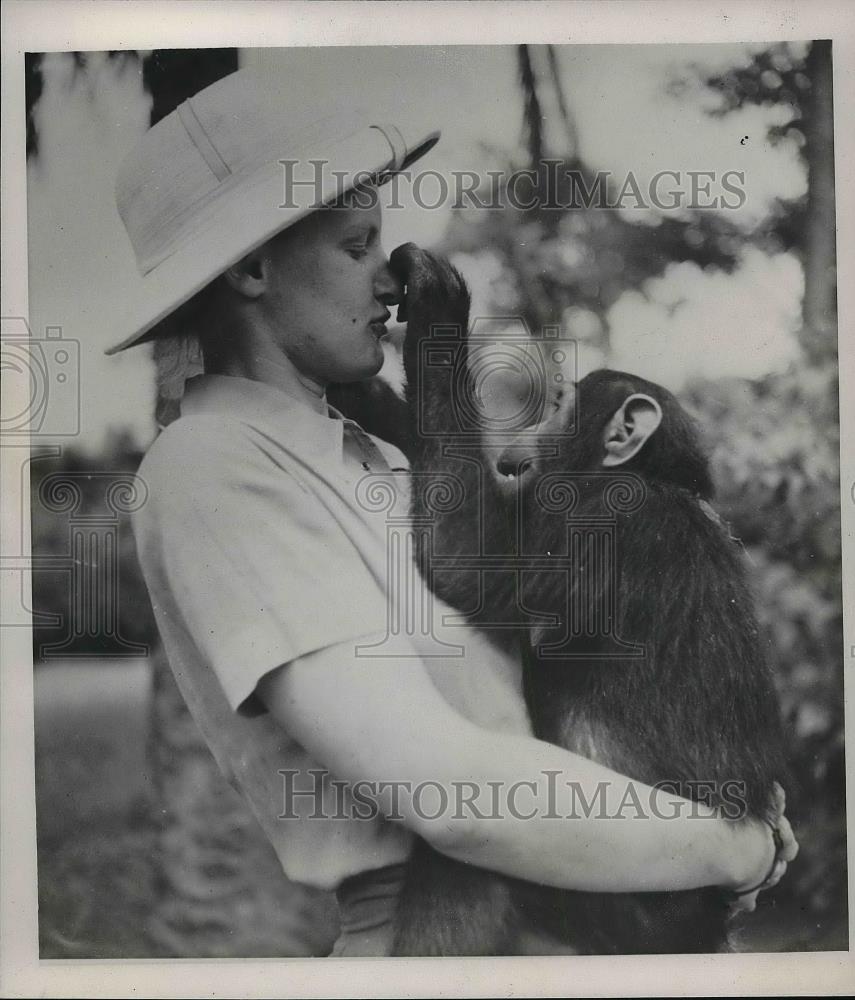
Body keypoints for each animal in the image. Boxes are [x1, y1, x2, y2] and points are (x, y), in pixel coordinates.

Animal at [332, 246, 784, 956]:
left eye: (563, 403)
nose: (534, 423)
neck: (644, 478)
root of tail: (705, 927)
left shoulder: (593, 527)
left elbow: (470, 556)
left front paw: (437, 306)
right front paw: (372, 397)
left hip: (628, 903)